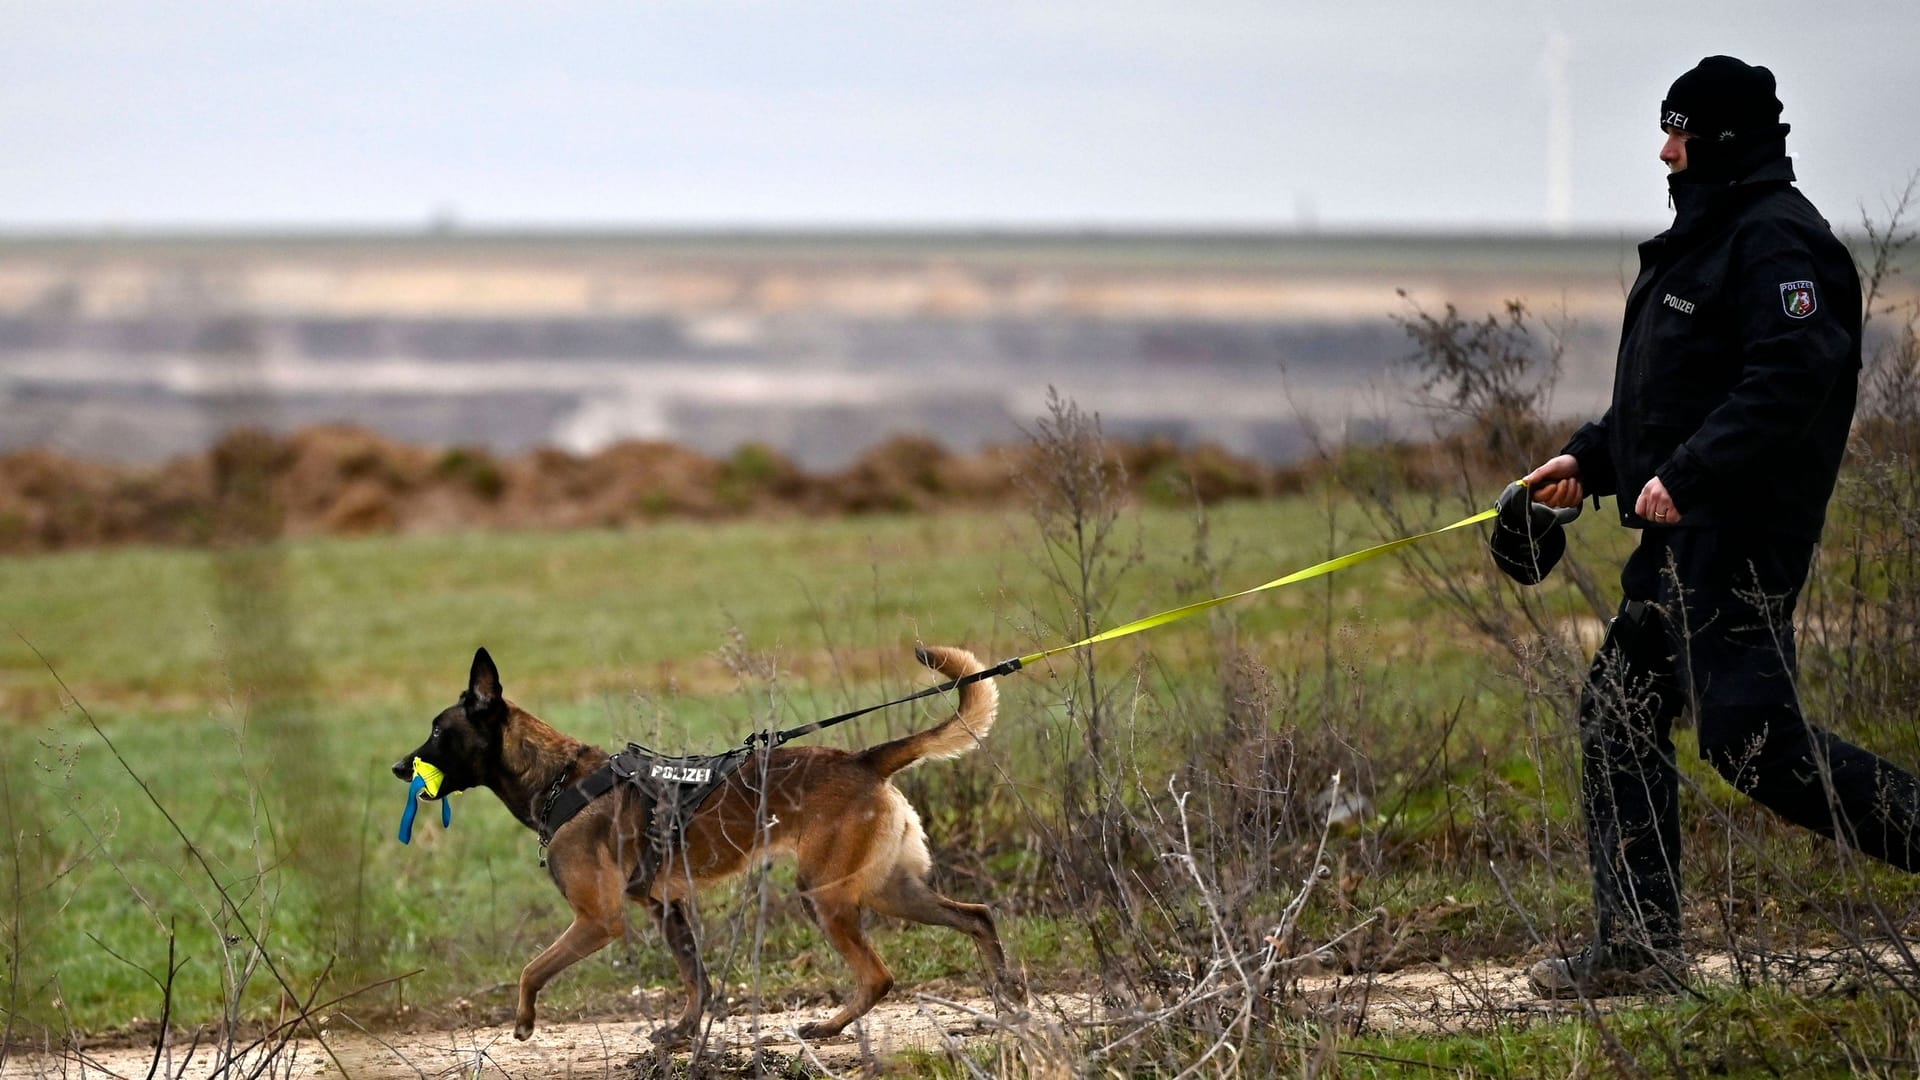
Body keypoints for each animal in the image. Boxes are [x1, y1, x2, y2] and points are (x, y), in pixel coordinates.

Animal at [389, 641, 1021, 1037]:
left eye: (439, 733)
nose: (398, 767)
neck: (560, 780)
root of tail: (863, 759)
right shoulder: (667, 907)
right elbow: (697, 981)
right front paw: (683, 1034)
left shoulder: (597, 921)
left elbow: (532, 968)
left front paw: (522, 1021)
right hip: (889, 889)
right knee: (977, 916)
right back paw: (1009, 1000)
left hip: (825, 895)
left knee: (879, 975)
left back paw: (829, 1027)